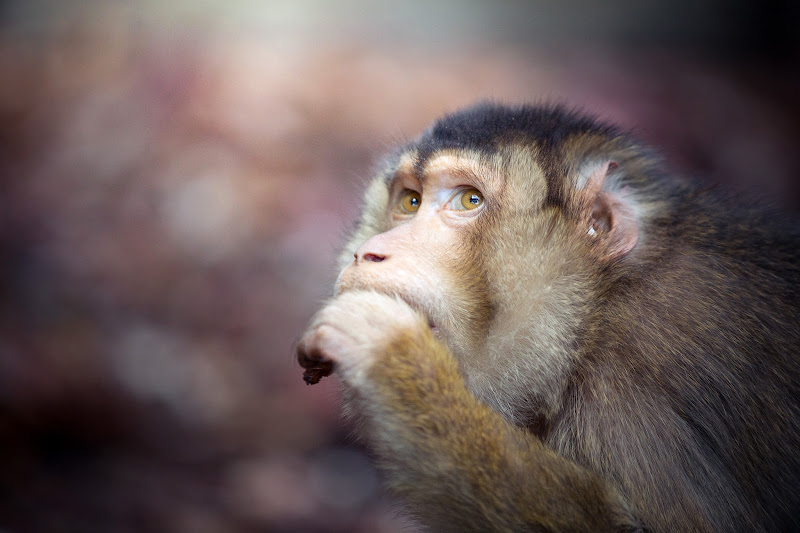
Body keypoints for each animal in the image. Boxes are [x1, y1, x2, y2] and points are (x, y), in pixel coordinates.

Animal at [296, 102, 800, 528]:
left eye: (469, 200)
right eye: (411, 201)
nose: (370, 252)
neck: (594, 315)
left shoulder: (631, 392)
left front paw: (393, 354)